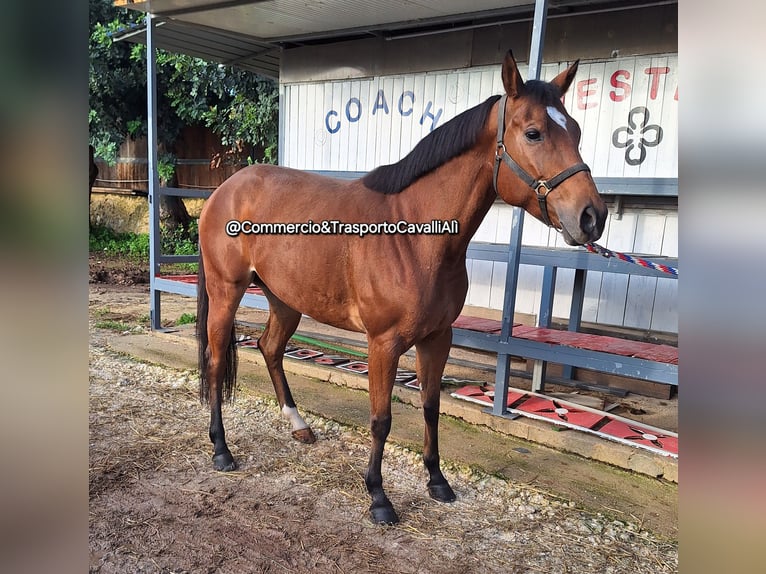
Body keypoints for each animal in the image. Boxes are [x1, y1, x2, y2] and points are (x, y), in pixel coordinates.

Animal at [196, 50, 608, 528]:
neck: (414, 234)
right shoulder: (384, 343)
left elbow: (431, 406)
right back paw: (221, 449)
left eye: (575, 130)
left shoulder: (438, 337)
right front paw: (378, 497)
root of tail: (225, 189)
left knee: (269, 348)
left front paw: (437, 481)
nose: (591, 216)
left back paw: (298, 426)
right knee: (217, 360)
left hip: (285, 299)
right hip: (227, 291)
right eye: (534, 132)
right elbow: (381, 418)